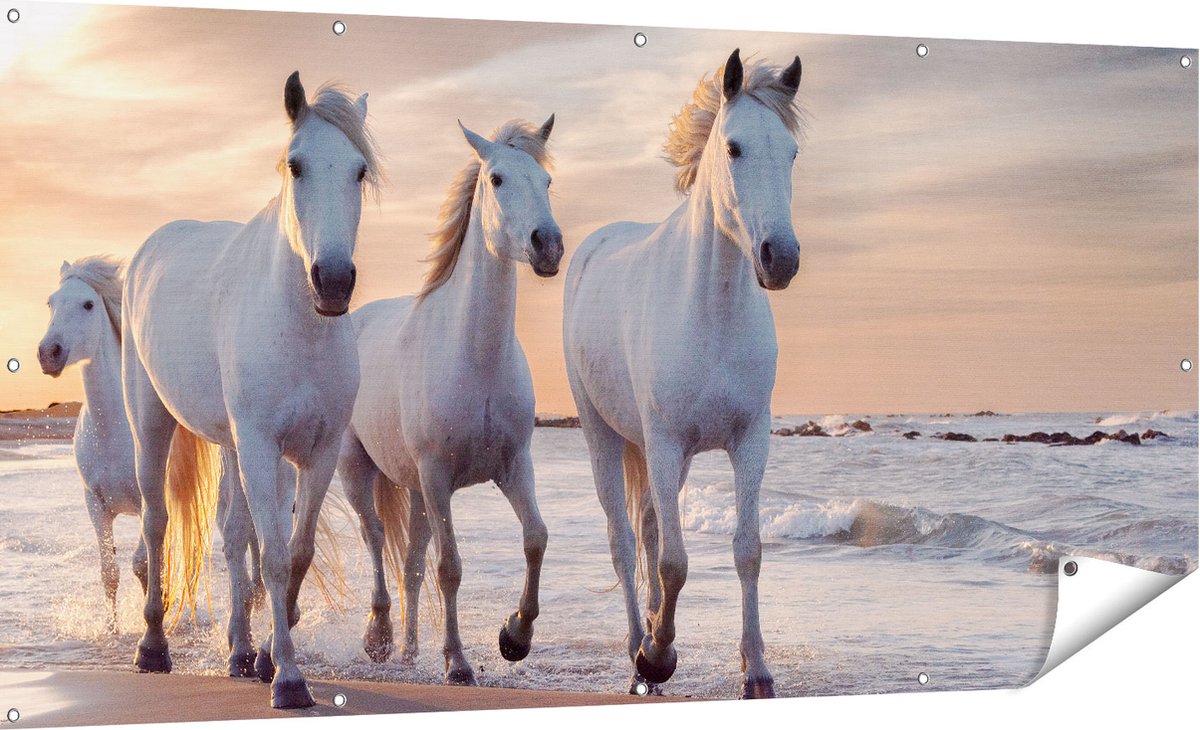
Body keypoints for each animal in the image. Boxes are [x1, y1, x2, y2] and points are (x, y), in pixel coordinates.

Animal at [36, 256, 265, 638]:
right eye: (51, 303)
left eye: (88, 304)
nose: (48, 354)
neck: (112, 431)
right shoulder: (95, 505)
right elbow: (110, 572)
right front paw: (113, 630)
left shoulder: (147, 499)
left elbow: (142, 564)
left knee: (248, 538)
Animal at [121, 72, 381, 709]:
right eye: (296, 165)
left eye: (359, 170)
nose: (333, 281)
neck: (299, 326)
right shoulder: (263, 446)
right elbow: (275, 556)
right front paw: (288, 678)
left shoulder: (317, 451)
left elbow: (292, 551)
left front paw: (266, 657)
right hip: (153, 423)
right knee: (157, 522)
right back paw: (153, 647)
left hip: (232, 446)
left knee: (234, 535)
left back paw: (239, 652)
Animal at [336, 116, 560, 685]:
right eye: (497, 179)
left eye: (547, 181)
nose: (548, 245)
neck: (474, 357)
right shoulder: (438, 476)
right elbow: (450, 567)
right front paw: (457, 662)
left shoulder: (513, 465)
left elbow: (535, 538)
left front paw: (515, 637)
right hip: (358, 469)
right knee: (375, 538)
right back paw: (379, 638)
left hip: (416, 491)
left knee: (411, 562)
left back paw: (411, 650)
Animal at [562, 49, 803, 699]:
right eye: (735, 148)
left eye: (792, 153)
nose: (781, 259)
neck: (711, 311)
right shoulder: (666, 442)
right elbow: (673, 562)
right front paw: (657, 655)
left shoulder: (749, 441)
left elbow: (747, 551)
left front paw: (757, 671)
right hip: (604, 436)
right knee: (625, 541)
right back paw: (636, 648)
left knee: (647, 528)